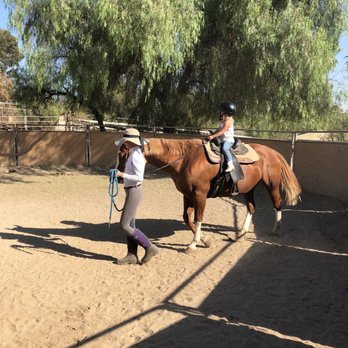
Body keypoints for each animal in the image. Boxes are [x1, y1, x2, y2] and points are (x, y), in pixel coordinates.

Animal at [115, 137, 300, 253]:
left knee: (277, 204)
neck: (185, 159)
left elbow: (198, 218)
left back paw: (276, 229)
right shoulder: (187, 195)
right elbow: (187, 217)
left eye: (122, 154)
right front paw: (205, 240)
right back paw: (241, 234)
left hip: (272, 185)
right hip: (248, 188)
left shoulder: (200, 195)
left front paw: (193, 244)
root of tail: (272, 152)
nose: (118, 177)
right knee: (251, 207)